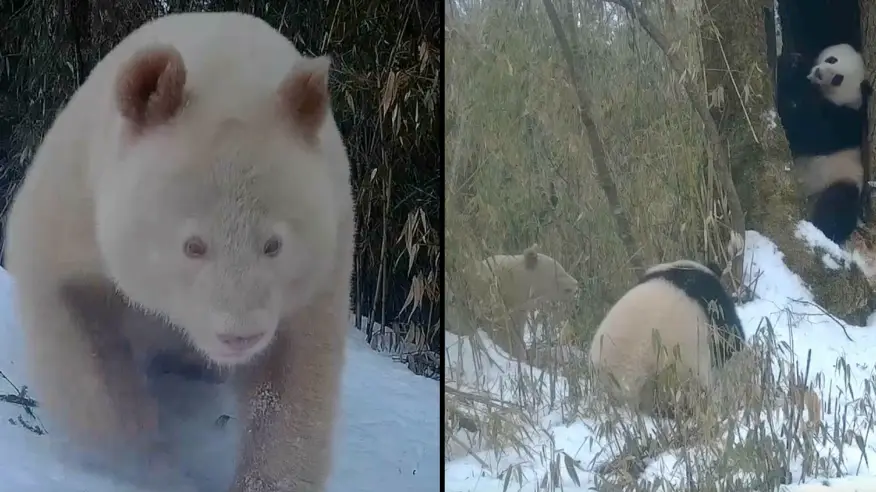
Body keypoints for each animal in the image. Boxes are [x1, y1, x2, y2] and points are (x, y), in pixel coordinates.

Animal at [776, 43, 871, 246]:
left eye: (838, 79)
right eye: (832, 59)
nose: (819, 73)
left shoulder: (849, 121)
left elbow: (813, 132)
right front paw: (793, 63)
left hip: (842, 178)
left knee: (837, 205)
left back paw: (822, 230)